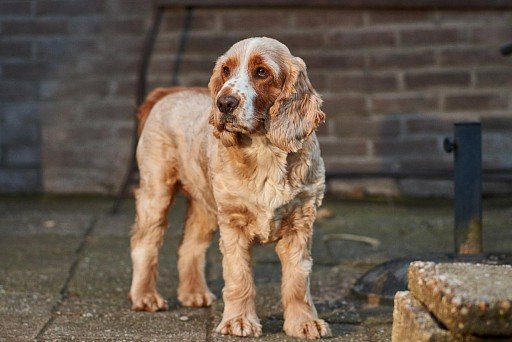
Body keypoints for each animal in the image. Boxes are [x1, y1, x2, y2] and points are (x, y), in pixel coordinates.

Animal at [130, 36, 330, 338]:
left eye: (261, 72)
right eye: (225, 70)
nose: (224, 103)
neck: (264, 149)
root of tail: (169, 93)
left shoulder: (300, 222)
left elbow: (298, 278)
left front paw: (304, 323)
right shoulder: (234, 223)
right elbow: (239, 276)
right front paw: (239, 322)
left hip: (206, 205)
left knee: (190, 245)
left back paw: (194, 293)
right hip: (157, 190)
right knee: (145, 242)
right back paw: (145, 297)